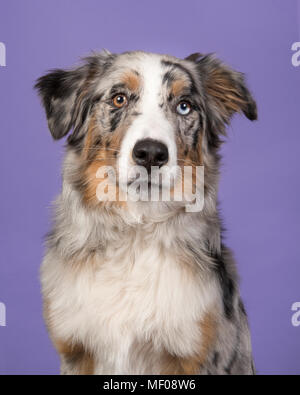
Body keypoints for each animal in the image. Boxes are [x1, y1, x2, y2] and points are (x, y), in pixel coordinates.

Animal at [36, 49, 258, 374]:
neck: (135, 233)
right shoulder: (76, 350)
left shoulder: (197, 354)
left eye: (184, 106)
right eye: (119, 99)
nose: (151, 153)